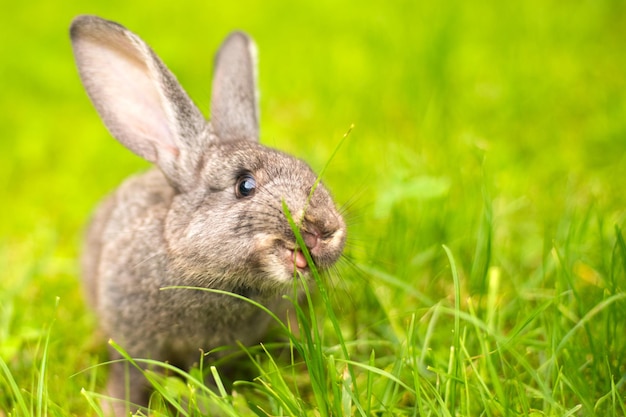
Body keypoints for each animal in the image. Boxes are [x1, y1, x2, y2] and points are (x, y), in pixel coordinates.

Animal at [72, 14, 346, 414]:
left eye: (308, 169)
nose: (325, 229)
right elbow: (131, 377)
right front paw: (119, 408)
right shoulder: (133, 341)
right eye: (245, 185)